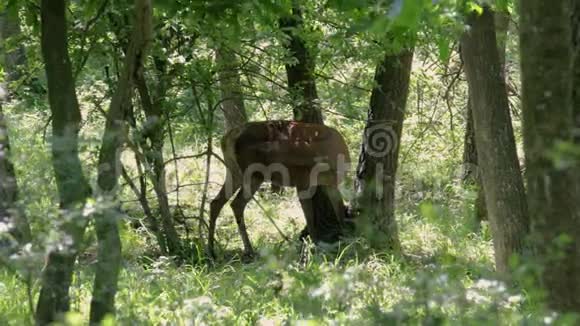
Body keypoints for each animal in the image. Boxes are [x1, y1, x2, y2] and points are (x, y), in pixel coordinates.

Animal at [210, 118, 352, 258]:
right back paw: (247, 250)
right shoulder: (303, 179)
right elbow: (310, 217)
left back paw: (212, 251)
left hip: (234, 171)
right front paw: (314, 244)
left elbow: (339, 209)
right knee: (236, 203)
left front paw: (347, 236)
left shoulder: (330, 184)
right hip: (253, 173)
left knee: (217, 202)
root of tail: (226, 138)